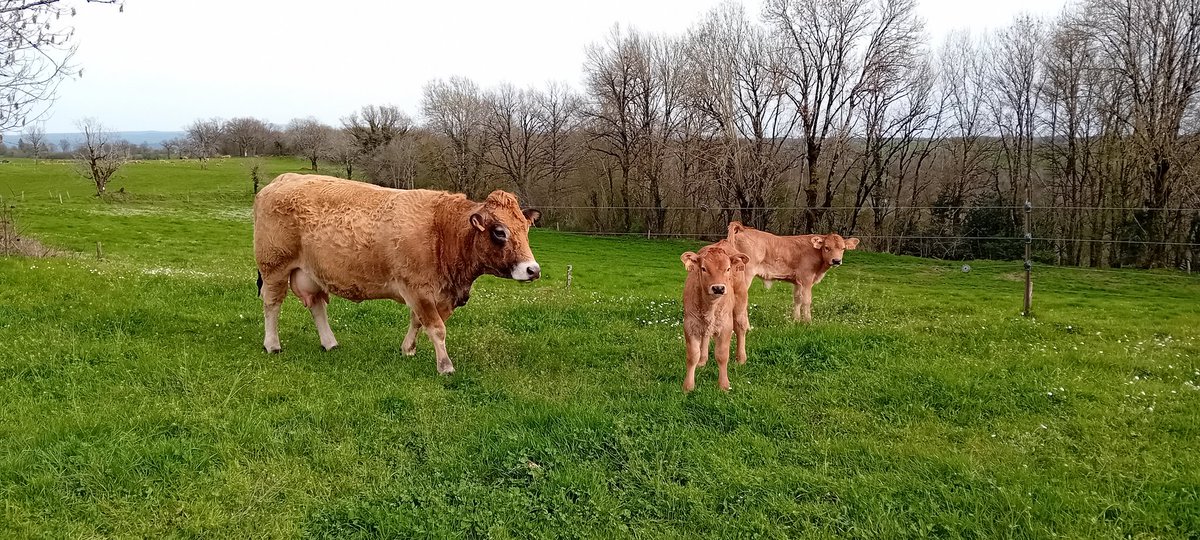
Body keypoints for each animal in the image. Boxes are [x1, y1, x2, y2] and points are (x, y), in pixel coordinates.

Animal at [255, 174, 542, 374]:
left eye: (526, 229)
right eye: (500, 232)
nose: (533, 269)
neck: (442, 229)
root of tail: (281, 180)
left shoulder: (435, 295)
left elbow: (418, 322)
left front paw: (408, 350)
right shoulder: (418, 289)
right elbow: (436, 328)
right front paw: (445, 366)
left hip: (310, 273)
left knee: (316, 307)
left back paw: (330, 342)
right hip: (274, 267)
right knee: (272, 305)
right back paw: (272, 344)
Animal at [681, 240, 744, 391]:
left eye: (728, 269)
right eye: (703, 268)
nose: (718, 288)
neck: (710, 306)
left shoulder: (726, 325)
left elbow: (722, 355)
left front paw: (724, 385)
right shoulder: (690, 324)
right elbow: (692, 355)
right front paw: (688, 386)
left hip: (740, 303)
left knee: (741, 328)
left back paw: (741, 359)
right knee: (706, 336)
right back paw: (702, 360)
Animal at [724, 222, 859, 321]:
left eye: (843, 248)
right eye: (827, 247)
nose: (836, 261)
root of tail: (743, 228)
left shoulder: (798, 282)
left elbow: (797, 299)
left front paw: (796, 320)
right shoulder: (806, 279)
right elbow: (806, 300)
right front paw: (808, 321)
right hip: (745, 275)